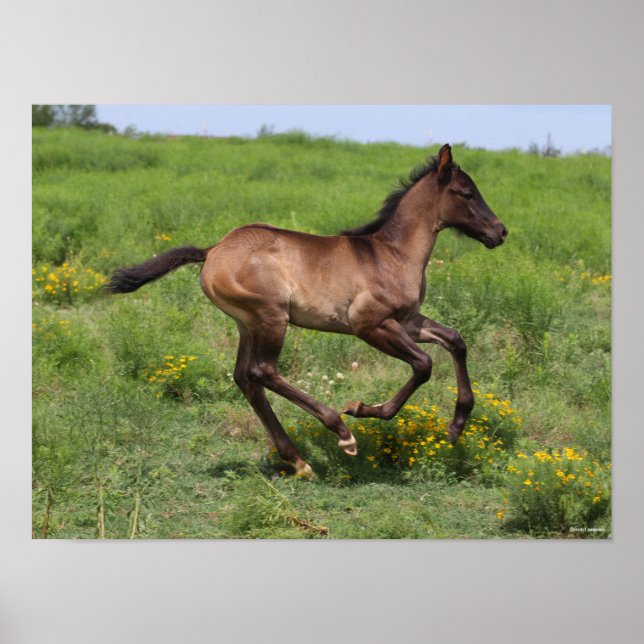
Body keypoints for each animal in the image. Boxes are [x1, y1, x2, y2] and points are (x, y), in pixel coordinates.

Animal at [108, 144, 507, 479]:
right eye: (468, 194)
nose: (500, 232)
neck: (392, 254)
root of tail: (213, 251)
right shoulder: (370, 324)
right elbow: (423, 365)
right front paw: (362, 409)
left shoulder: (408, 322)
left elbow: (456, 340)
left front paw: (456, 426)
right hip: (271, 318)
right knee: (262, 371)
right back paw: (340, 432)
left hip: (247, 324)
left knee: (245, 378)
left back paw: (298, 461)